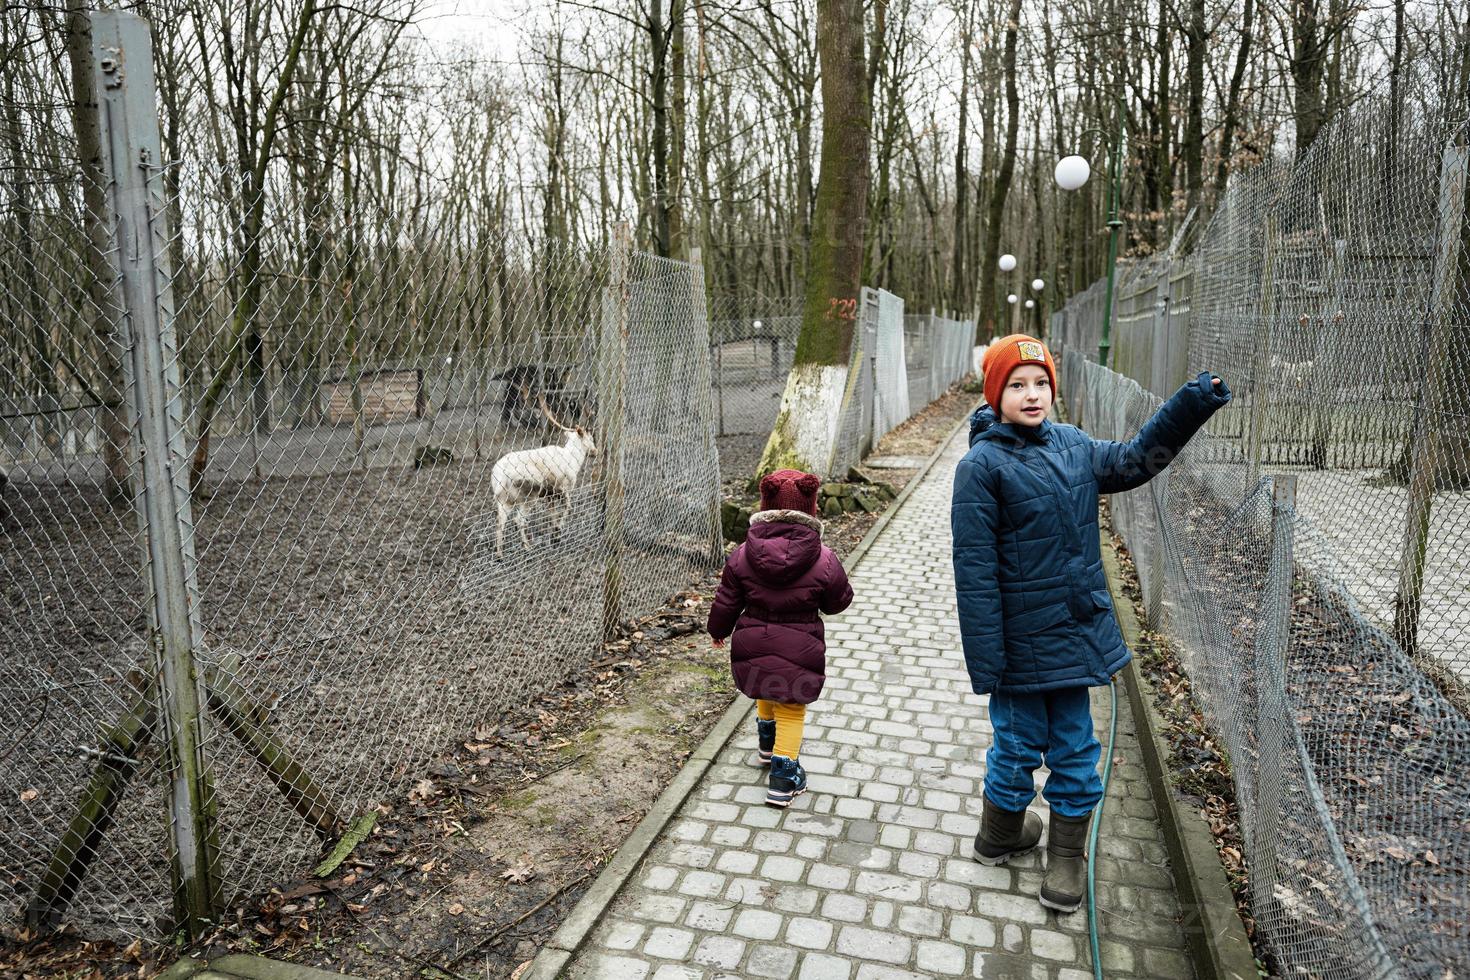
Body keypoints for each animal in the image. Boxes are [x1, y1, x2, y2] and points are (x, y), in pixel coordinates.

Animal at [488, 399, 590, 552]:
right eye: (590, 437)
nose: (595, 451)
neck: (573, 458)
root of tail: (499, 475)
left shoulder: (549, 495)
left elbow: (553, 513)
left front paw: (555, 535)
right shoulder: (562, 488)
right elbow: (568, 507)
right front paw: (558, 530)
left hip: (505, 500)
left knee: (500, 522)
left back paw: (500, 553)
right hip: (529, 495)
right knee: (518, 519)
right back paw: (527, 547)